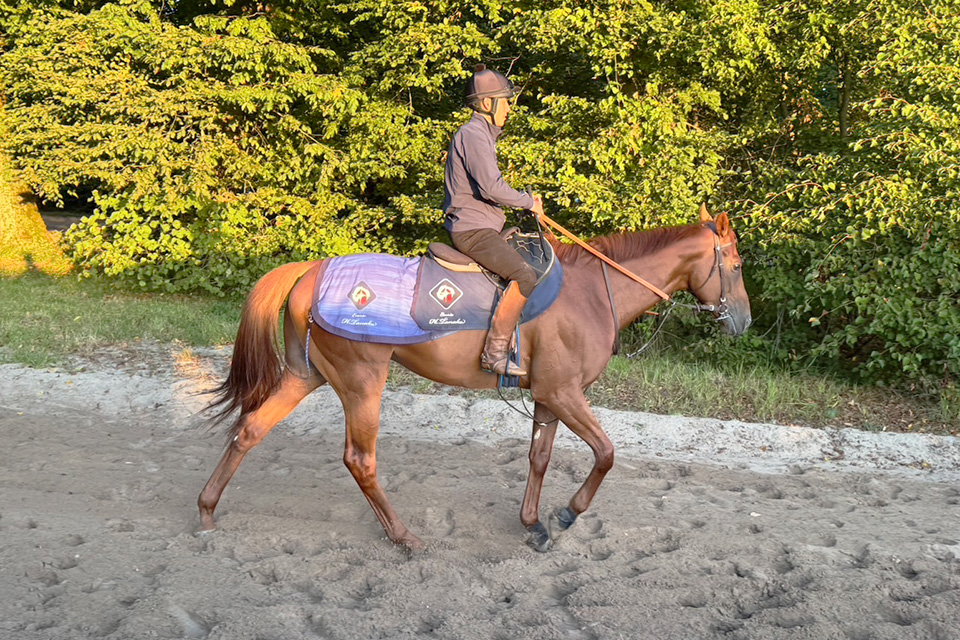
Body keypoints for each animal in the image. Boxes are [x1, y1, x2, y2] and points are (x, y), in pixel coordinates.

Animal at [197, 206, 751, 553]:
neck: (595, 292)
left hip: (305, 374)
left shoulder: (548, 396)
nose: (744, 322)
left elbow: (540, 458)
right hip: (361, 380)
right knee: (360, 460)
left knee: (250, 429)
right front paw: (567, 514)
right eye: (736, 264)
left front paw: (533, 524)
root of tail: (311, 271)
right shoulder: (564, 392)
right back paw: (403, 537)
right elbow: (607, 453)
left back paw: (206, 512)